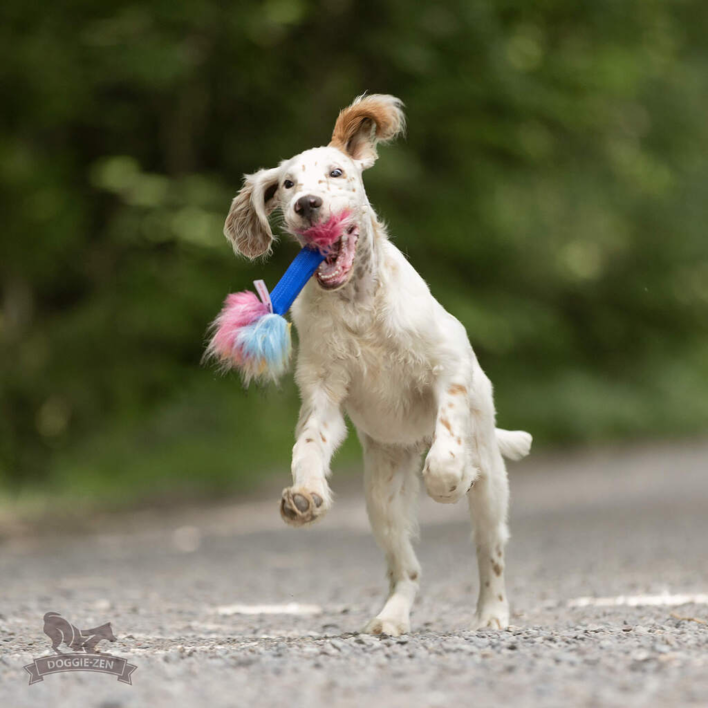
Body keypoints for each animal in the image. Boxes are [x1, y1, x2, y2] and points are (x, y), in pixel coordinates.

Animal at [224, 95, 528, 636]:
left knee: (488, 551)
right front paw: (305, 495)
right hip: (381, 498)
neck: (356, 303)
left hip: (492, 484)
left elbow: (446, 448)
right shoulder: (323, 392)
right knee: (404, 568)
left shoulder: (448, 364)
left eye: (336, 172)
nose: (307, 205)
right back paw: (391, 617)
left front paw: (447, 481)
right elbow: (308, 445)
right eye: (288, 185)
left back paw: (492, 613)